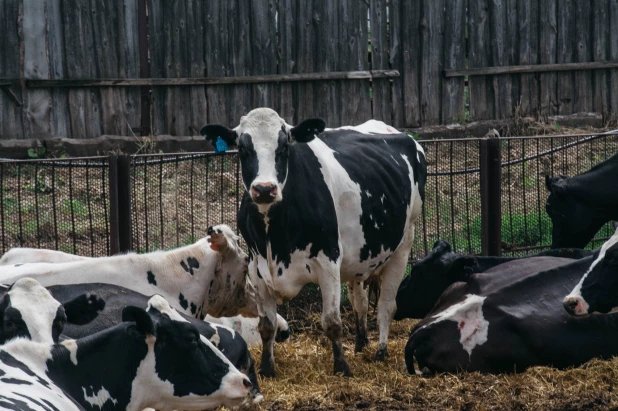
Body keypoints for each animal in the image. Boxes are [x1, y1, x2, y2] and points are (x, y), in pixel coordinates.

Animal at [201, 108, 424, 376]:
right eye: (243, 149)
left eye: (284, 147)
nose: (264, 189)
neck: (274, 237)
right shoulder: (256, 268)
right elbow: (267, 325)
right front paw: (267, 368)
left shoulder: (328, 261)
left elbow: (332, 322)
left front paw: (342, 368)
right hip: (360, 256)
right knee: (360, 303)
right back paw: (361, 344)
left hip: (404, 245)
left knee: (386, 306)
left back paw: (381, 351)